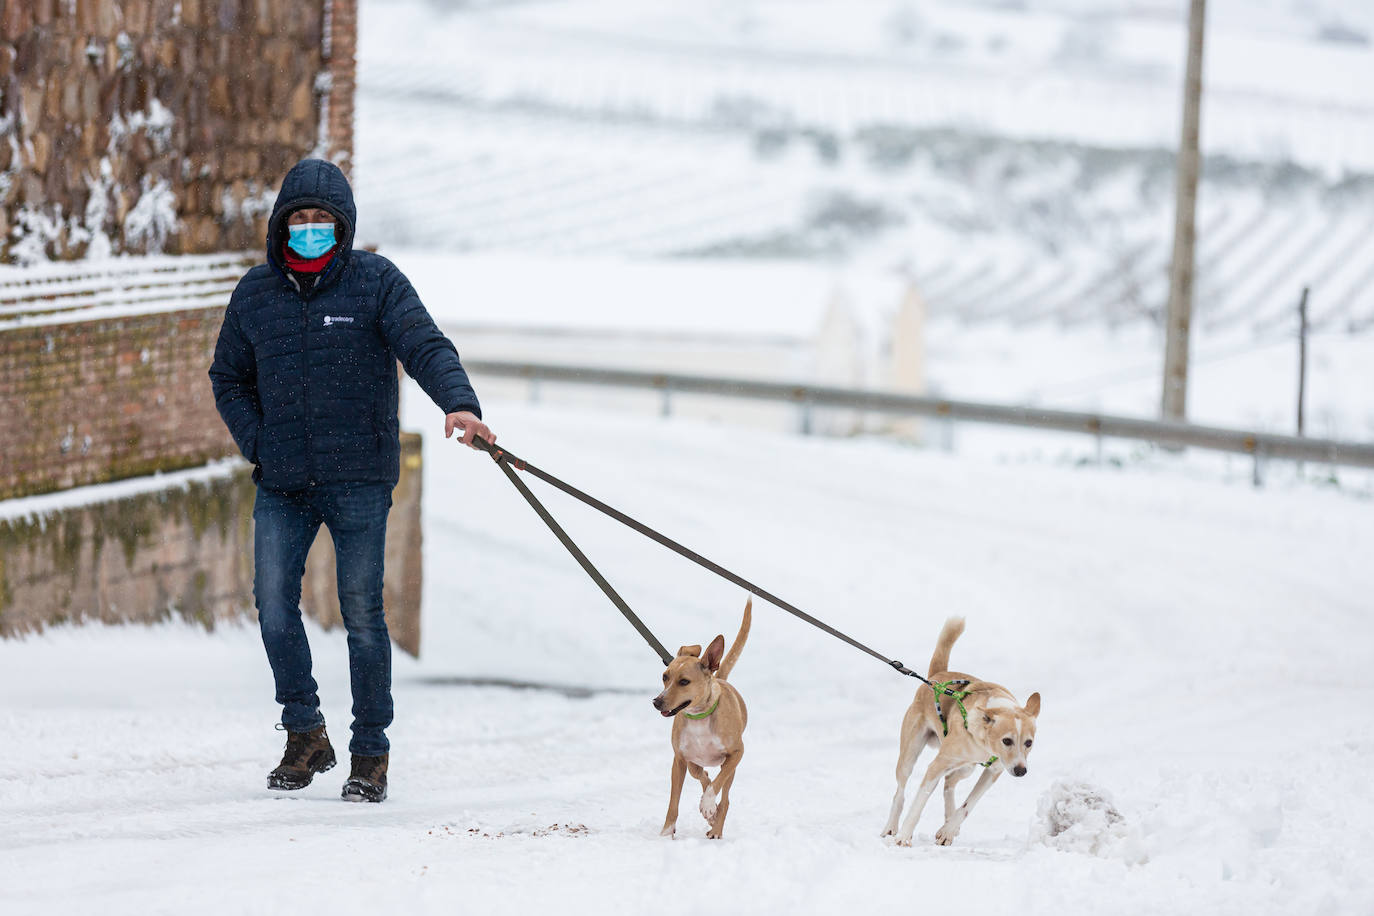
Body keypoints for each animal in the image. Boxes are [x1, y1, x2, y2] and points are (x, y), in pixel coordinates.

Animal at [651, 598, 752, 840]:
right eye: (665, 676)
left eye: (684, 681)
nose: (657, 702)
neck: (699, 717)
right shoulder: (679, 760)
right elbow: (674, 802)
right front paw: (666, 832)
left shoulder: (737, 753)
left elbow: (716, 784)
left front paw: (708, 805)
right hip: (692, 762)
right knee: (701, 773)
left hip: (731, 766)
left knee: (724, 796)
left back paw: (715, 826)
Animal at [879, 620, 1038, 851]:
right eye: (1006, 740)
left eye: (1028, 743)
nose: (1020, 771)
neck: (983, 744)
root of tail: (935, 677)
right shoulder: (936, 766)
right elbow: (919, 802)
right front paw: (904, 837)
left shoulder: (994, 771)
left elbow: (968, 804)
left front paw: (948, 830)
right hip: (910, 755)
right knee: (900, 792)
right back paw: (891, 827)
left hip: (966, 768)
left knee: (949, 782)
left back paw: (949, 822)